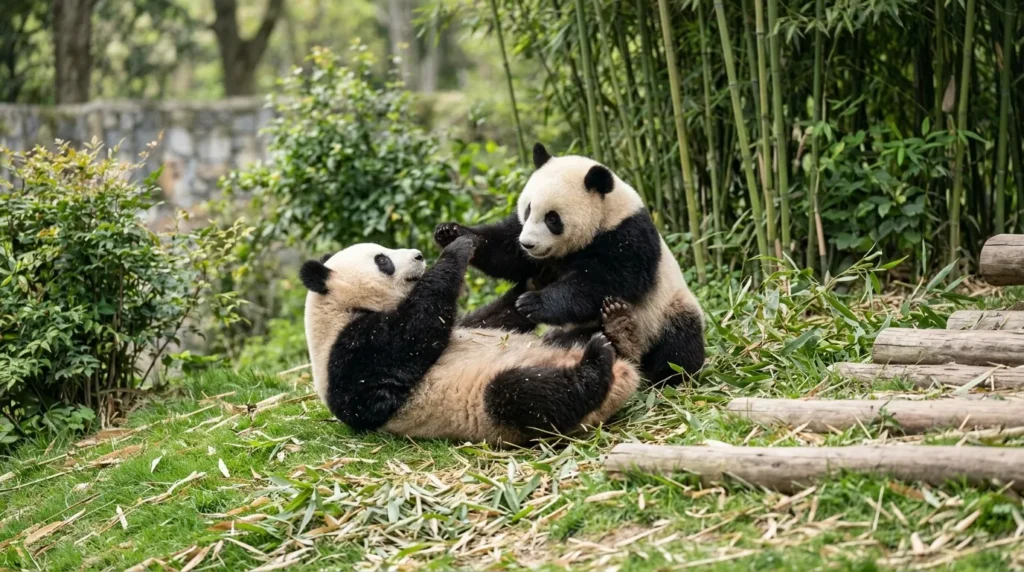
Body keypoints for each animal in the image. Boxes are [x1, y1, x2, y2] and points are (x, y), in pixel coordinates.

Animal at [300, 235, 641, 446]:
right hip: (495, 407)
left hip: (559, 344)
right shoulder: (348, 355)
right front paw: (457, 249)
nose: (418, 255)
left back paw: (619, 328)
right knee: (525, 394)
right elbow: (409, 337)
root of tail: (625, 378)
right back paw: (596, 361)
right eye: (383, 260)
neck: (340, 308)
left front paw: (538, 277)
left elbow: (489, 320)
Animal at [434, 143, 705, 386]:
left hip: (666, 311)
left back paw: (655, 365)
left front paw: (533, 303)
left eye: (552, 218)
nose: (528, 244)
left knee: (678, 345)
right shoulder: (526, 240)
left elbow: (605, 281)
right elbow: (507, 252)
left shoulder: (628, 237)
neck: (606, 215)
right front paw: (451, 232)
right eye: (528, 209)